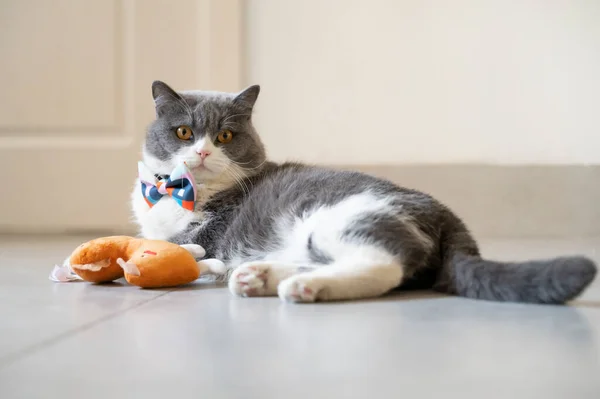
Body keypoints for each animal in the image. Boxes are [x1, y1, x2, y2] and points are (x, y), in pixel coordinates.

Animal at [130, 81, 596, 304]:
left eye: (225, 136)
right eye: (184, 132)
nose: (202, 151)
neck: (180, 194)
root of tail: (447, 214)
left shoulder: (215, 227)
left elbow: (185, 243)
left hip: (345, 216)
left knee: (384, 265)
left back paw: (304, 288)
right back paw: (256, 276)